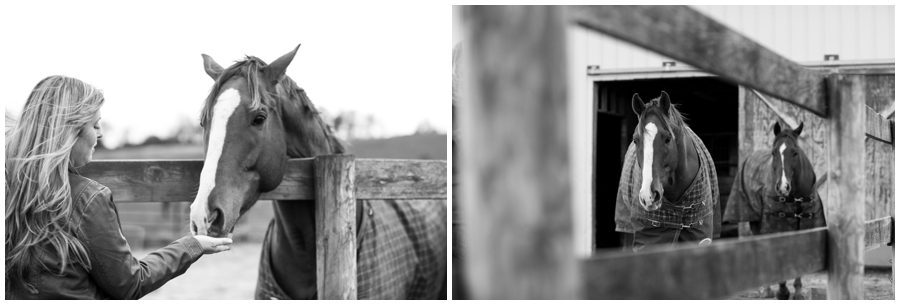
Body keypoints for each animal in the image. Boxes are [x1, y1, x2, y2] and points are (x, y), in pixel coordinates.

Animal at [724, 121, 824, 300]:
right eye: (773, 152)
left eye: (795, 152)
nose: (783, 187)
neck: (796, 196)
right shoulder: (777, 223)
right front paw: (782, 291)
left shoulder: (803, 224)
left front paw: (798, 291)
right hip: (756, 220)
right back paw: (766, 289)